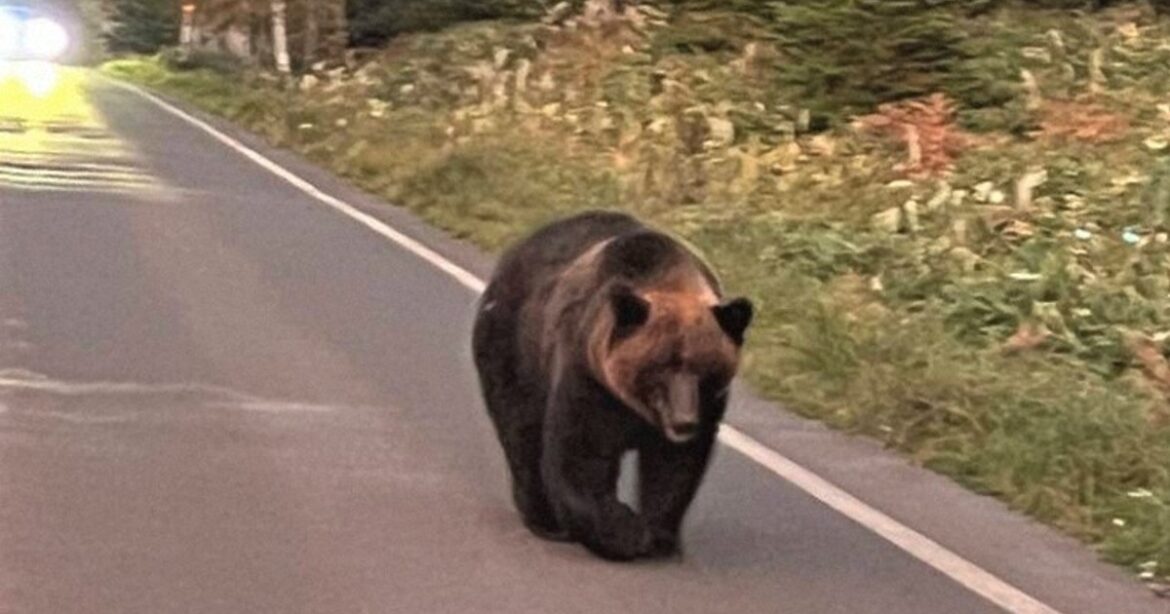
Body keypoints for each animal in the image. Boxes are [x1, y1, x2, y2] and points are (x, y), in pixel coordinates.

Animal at [471, 210, 753, 561]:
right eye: (663, 365)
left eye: (705, 369)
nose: (684, 421)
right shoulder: (588, 377)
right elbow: (581, 455)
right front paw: (625, 531)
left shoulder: (708, 405)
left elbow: (674, 466)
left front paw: (659, 535)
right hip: (516, 347)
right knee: (521, 430)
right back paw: (544, 519)